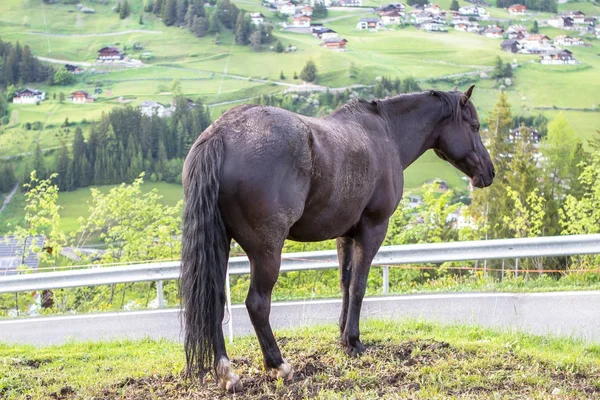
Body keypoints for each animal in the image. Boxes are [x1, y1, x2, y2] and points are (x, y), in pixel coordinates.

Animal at [180, 86, 494, 390]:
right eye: (475, 126)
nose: (489, 172)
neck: (386, 132)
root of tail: (220, 133)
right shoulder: (372, 229)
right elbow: (358, 286)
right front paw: (353, 342)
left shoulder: (345, 235)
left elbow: (345, 282)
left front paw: (342, 335)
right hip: (266, 252)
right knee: (257, 303)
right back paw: (278, 365)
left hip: (220, 243)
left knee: (215, 300)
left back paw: (227, 373)